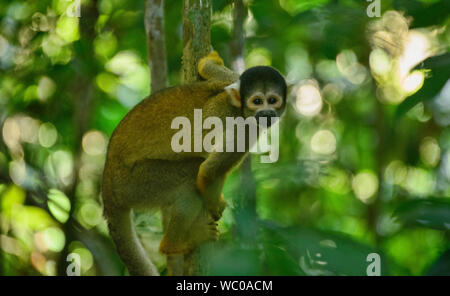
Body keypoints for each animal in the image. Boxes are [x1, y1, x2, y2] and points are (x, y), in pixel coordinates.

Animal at [102, 51, 288, 276]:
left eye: (272, 100)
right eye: (257, 101)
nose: (267, 114)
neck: (239, 107)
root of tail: (108, 187)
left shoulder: (231, 81)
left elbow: (210, 70)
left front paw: (211, 59)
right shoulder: (244, 127)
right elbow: (209, 170)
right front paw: (214, 203)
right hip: (135, 185)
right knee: (190, 176)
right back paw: (172, 245)